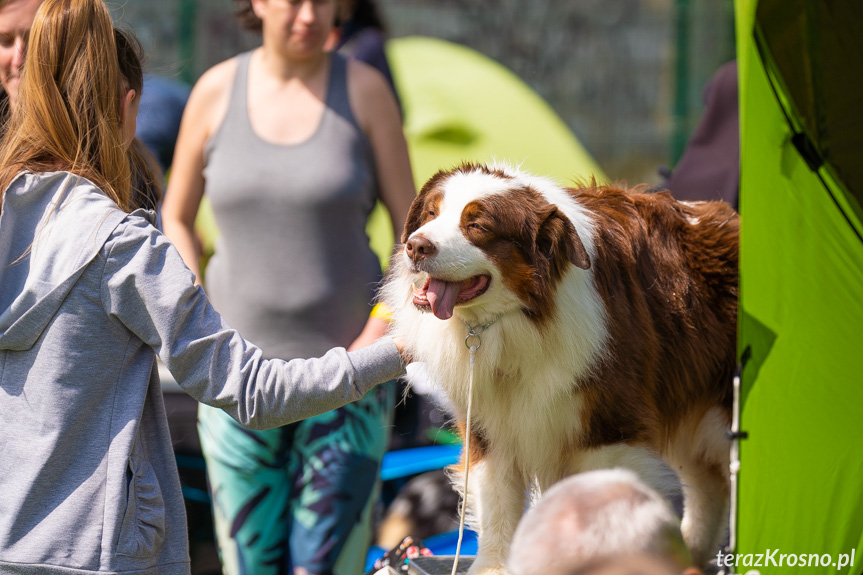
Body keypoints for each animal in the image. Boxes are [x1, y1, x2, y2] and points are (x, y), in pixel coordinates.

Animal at [382, 162, 740, 572]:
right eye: (431, 213)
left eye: (477, 225)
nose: (415, 245)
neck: (519, 317)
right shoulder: (490, 423)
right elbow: (498, 503)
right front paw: (493, 565)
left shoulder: (607, 426)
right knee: (708, 480)